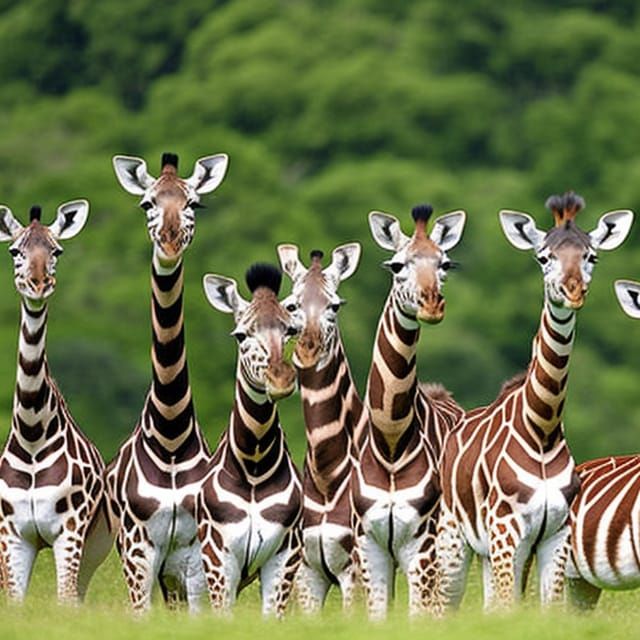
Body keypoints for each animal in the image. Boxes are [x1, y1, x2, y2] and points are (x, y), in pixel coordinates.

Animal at [0, 201, 113, 603]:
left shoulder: (70, 530)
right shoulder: (13, 534)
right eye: (15, 251)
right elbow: (15, 604)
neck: (32, 434)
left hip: (96, 548)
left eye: (56, 251)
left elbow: (64, 601)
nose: (38, 285)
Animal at [106, 151, 228, 612]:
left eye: (194, 203)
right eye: (147, 203)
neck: (171, 435)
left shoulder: (190, 555)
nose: (171, 241)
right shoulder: (138, 549)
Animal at [196, 263, 303, 618]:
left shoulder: (284, 555)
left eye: (290, 330)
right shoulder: (218, 557)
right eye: (241, 335)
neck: (254, 466)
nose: (281, 380)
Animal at [351, 204, 466, 620]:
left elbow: (419, 617)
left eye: (445, 263)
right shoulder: (370, 545)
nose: (432, 304)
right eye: (397, 265)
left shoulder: (422, 546)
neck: (390, 440)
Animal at [436, 192, 634, 611]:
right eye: (544, 257)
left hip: (488, 549)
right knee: (441, 604)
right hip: (455, 536)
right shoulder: (507, 528)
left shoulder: (555, 534)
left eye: (591, 256)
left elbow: (547, 610)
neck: (541, 426)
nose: (573, 291)